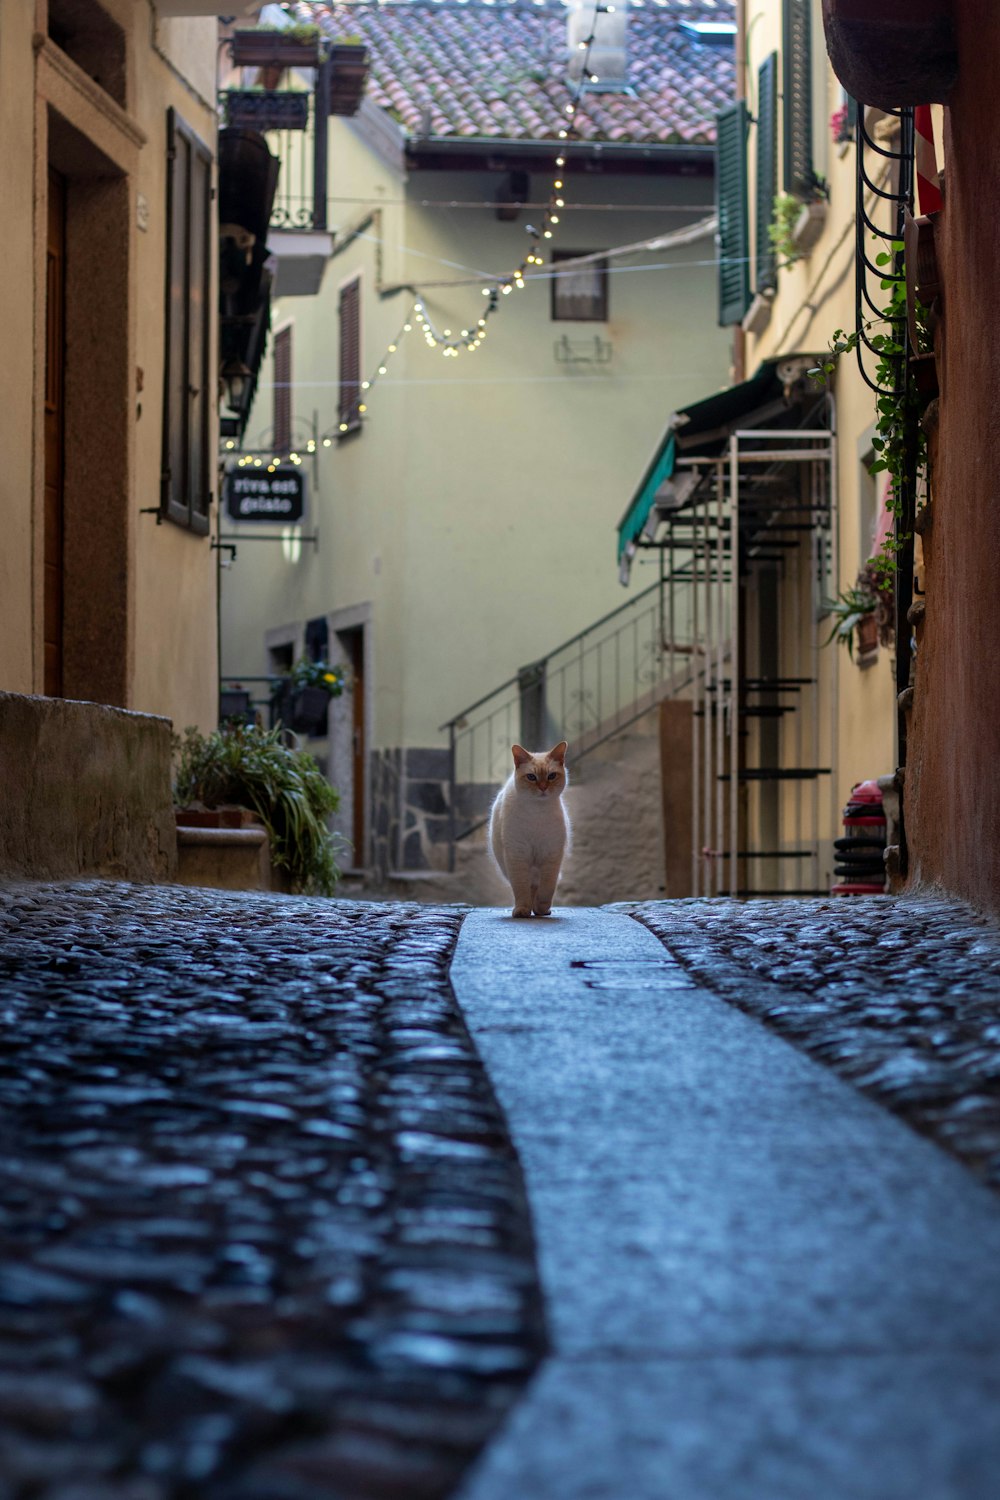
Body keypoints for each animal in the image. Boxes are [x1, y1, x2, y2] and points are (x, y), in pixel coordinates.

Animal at [491, 738, 569, 912]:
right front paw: (522, 910)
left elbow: (547, 889)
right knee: (530, 887)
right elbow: (521, 889)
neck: (537, 812)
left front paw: (541, 909)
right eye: (531, 777)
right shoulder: (517, 855)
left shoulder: (551, 855)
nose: (543, 788)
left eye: (551, 776)